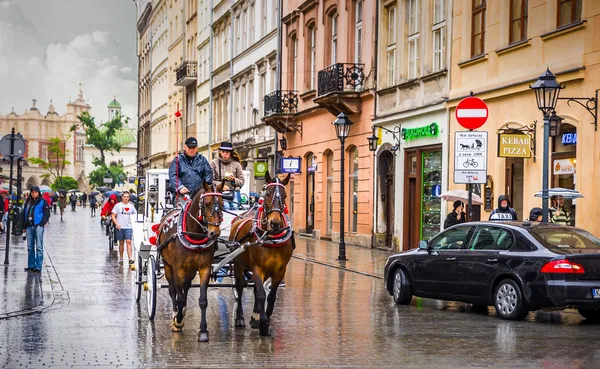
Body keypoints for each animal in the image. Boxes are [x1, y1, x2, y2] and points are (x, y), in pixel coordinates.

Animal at [157, 182, 225, 342]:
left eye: (222, 204)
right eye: (207, 203)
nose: (215, 233)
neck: (194, 234)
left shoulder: (204, 268)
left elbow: (202, 300)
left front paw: (203, 331)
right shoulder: (178, 269)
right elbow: (179, 297)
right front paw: (178, 321)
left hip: (191, 270)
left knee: (186, 287)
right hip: (167, 266)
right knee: (173, 290)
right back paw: (176, 314)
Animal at [230, 171, 292, 334]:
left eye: (284, 196)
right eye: (268, 193)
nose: (275, 223)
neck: (271, 239)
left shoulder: (280, 270)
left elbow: (271, 296)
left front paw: (265, 321)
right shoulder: (257, 268)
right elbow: (261, 294)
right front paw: (263, 324)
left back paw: (254, 318)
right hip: (238, 264)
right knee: (239, 288)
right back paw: (240, 318)